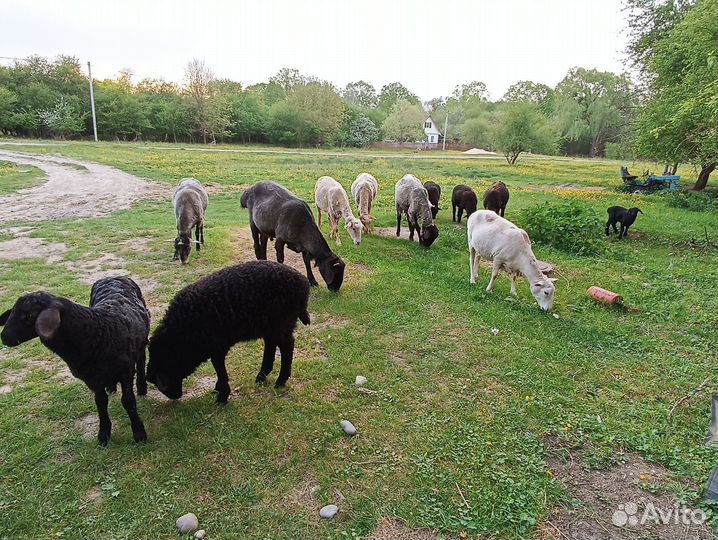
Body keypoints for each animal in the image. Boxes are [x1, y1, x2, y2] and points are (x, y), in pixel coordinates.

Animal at [0, 277, 150, 445]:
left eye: (30, 315)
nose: (4, 337)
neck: (97, 332)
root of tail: (113, 277)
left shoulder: (126, 372)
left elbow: (128, 401)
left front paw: (139, 434)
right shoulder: (93, 379)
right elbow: (100, 402)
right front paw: (103, 434)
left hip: (140, 342)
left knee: (141, 359)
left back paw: (142, 387)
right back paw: (111, 387)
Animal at [147, 261, 310, 403]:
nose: (175, 396)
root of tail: (303, 283)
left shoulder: (216, 347)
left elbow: (219, 369)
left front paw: (222, 397)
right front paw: (218, 389)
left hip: (281, 321)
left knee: (287, 345)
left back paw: (280, 381)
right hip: (270, 325)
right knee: (271, 344)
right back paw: (261, 376)